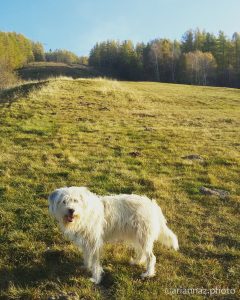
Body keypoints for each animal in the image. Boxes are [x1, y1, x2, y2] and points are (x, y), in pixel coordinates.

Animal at [48, 188, 178, 284]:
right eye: (64, 201)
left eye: (75, 201)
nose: (71, 210)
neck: (84, 213)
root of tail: (153, 205)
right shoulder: (87, 242)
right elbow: (87, 256)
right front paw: (86, 267)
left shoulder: (95, 243)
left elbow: (95, 262)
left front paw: (96, 278)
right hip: (137, 236)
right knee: (142, 252)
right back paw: (136, 262)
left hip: (143, 236)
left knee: (151, 257)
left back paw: (148, 274)